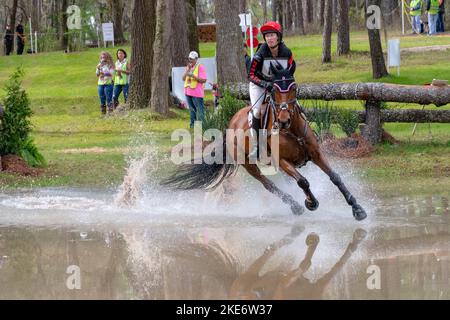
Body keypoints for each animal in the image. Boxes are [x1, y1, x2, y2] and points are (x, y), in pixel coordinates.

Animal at [163, 65, 368, 220]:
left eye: (294, 87)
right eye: (275, 90)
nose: (284, 120)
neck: (291, 130)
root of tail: (231, 123)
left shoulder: (316, 154)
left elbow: (335, 177)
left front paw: (357, 209)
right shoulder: (282, 162)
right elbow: (303, 182)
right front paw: (311, 203)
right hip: (248, 164)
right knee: (268, 184)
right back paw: (295, 206)